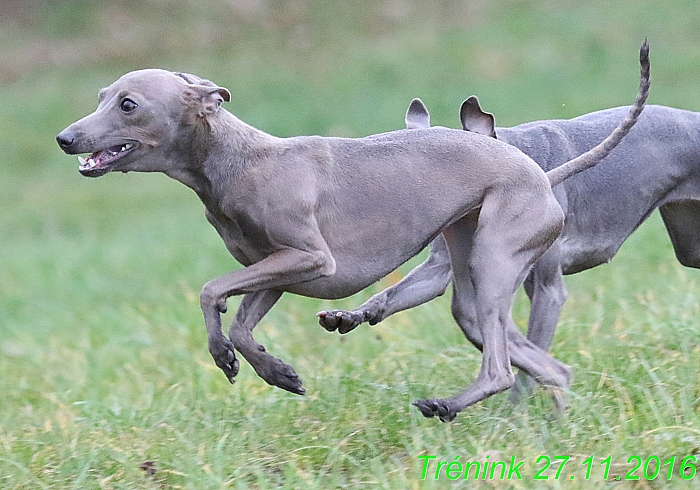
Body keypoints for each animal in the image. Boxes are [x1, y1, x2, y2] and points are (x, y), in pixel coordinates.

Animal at [57, 43, 648, 422]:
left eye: (128, 104)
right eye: (102, 95)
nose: (65, 138)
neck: (238, 160)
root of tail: (541, 176)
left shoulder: (311, 259)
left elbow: (209, 289)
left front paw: (225, 354)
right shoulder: (274, 269)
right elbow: (243, 323)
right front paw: (274, 370)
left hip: (495, 258)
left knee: (501, 369)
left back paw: (447, 406)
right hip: (468, 268)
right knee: (550, 366)